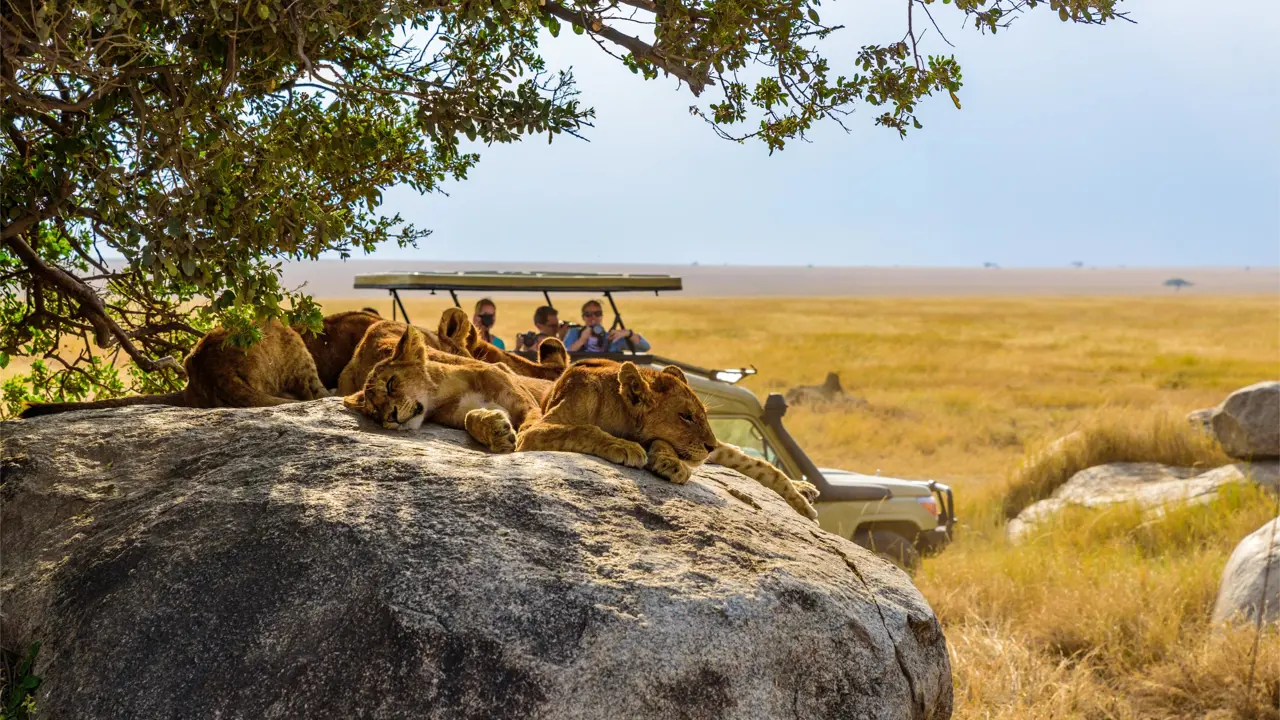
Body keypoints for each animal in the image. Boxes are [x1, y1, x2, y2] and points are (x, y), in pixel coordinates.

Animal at [342, 324, 543, 453]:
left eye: (390, 384)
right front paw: (497, 432)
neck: (446, 394)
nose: (391, 417)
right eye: (374, 411)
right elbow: (471, 418)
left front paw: (526, 440)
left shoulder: (524, 401)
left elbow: (531, 421)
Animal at [515, 358, 820, 520]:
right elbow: (583, 429)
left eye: (703, 414)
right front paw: (624, 447)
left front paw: (671, 465)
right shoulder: (530, 433)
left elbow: (662, 444)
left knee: (762, 466)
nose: (710, 445)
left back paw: (803, 497)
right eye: (686, 416)